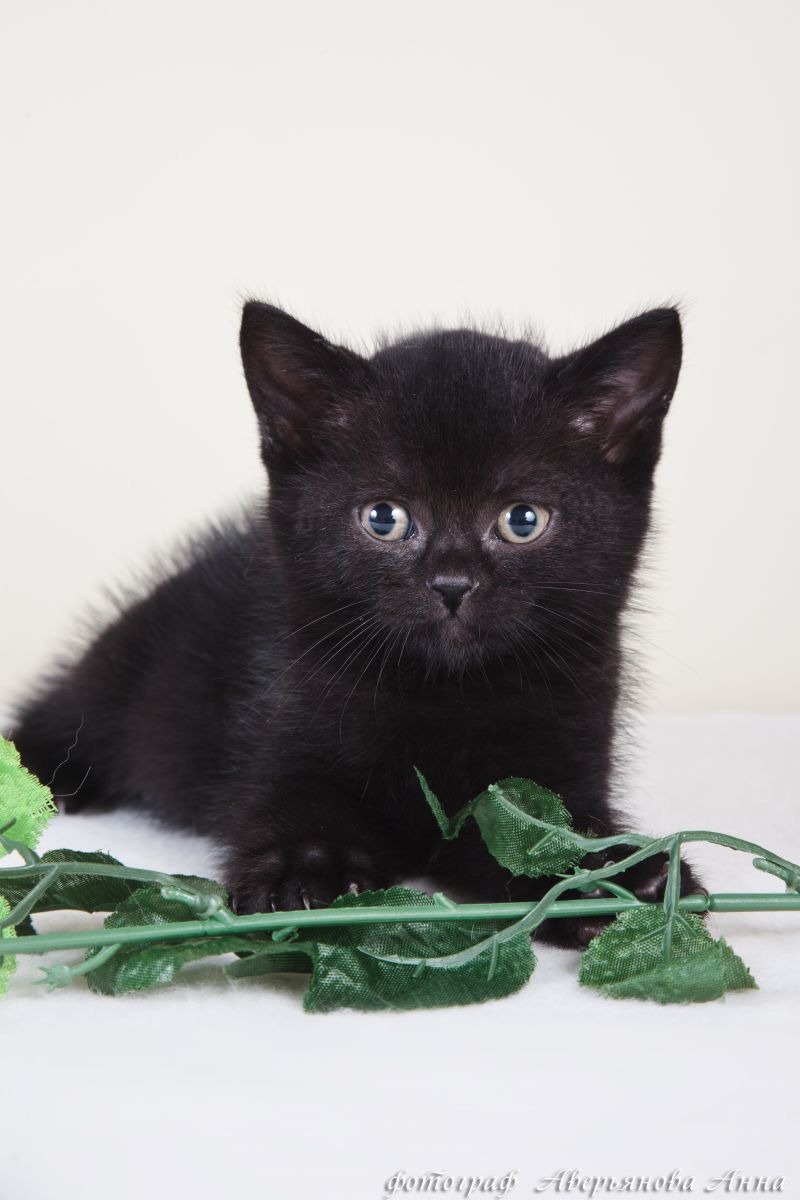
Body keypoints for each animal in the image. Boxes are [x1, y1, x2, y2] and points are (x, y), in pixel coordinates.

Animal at [12, 300, 703, 946]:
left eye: (523, 520)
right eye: (384, 518)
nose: (452, 583)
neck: (444, 694)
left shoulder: (561, 759)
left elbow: (539, 834)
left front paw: (615, 875)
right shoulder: (280, 726)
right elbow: (293, 805)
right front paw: (304, 873)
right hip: (127, 669)